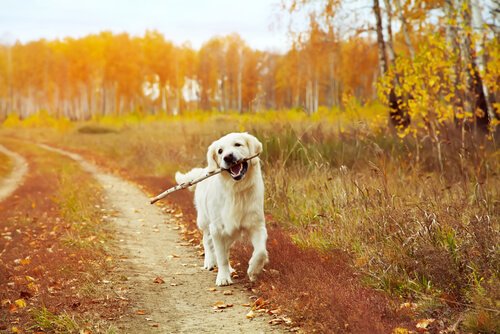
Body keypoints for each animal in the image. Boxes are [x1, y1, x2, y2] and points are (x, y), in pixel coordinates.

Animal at [176, 132, 270, 286]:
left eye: (238, 144)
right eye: (220, 151)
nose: (228, 157)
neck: (236, 190)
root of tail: (203, 170)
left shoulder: (256, 225)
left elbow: (261, 251)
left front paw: (253, 270)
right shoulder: (217, 229)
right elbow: (221, 257)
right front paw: (223, 277)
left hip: (230, 232)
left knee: (226, 248)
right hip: (205, 221)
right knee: (207, 241)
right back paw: (209, 262)